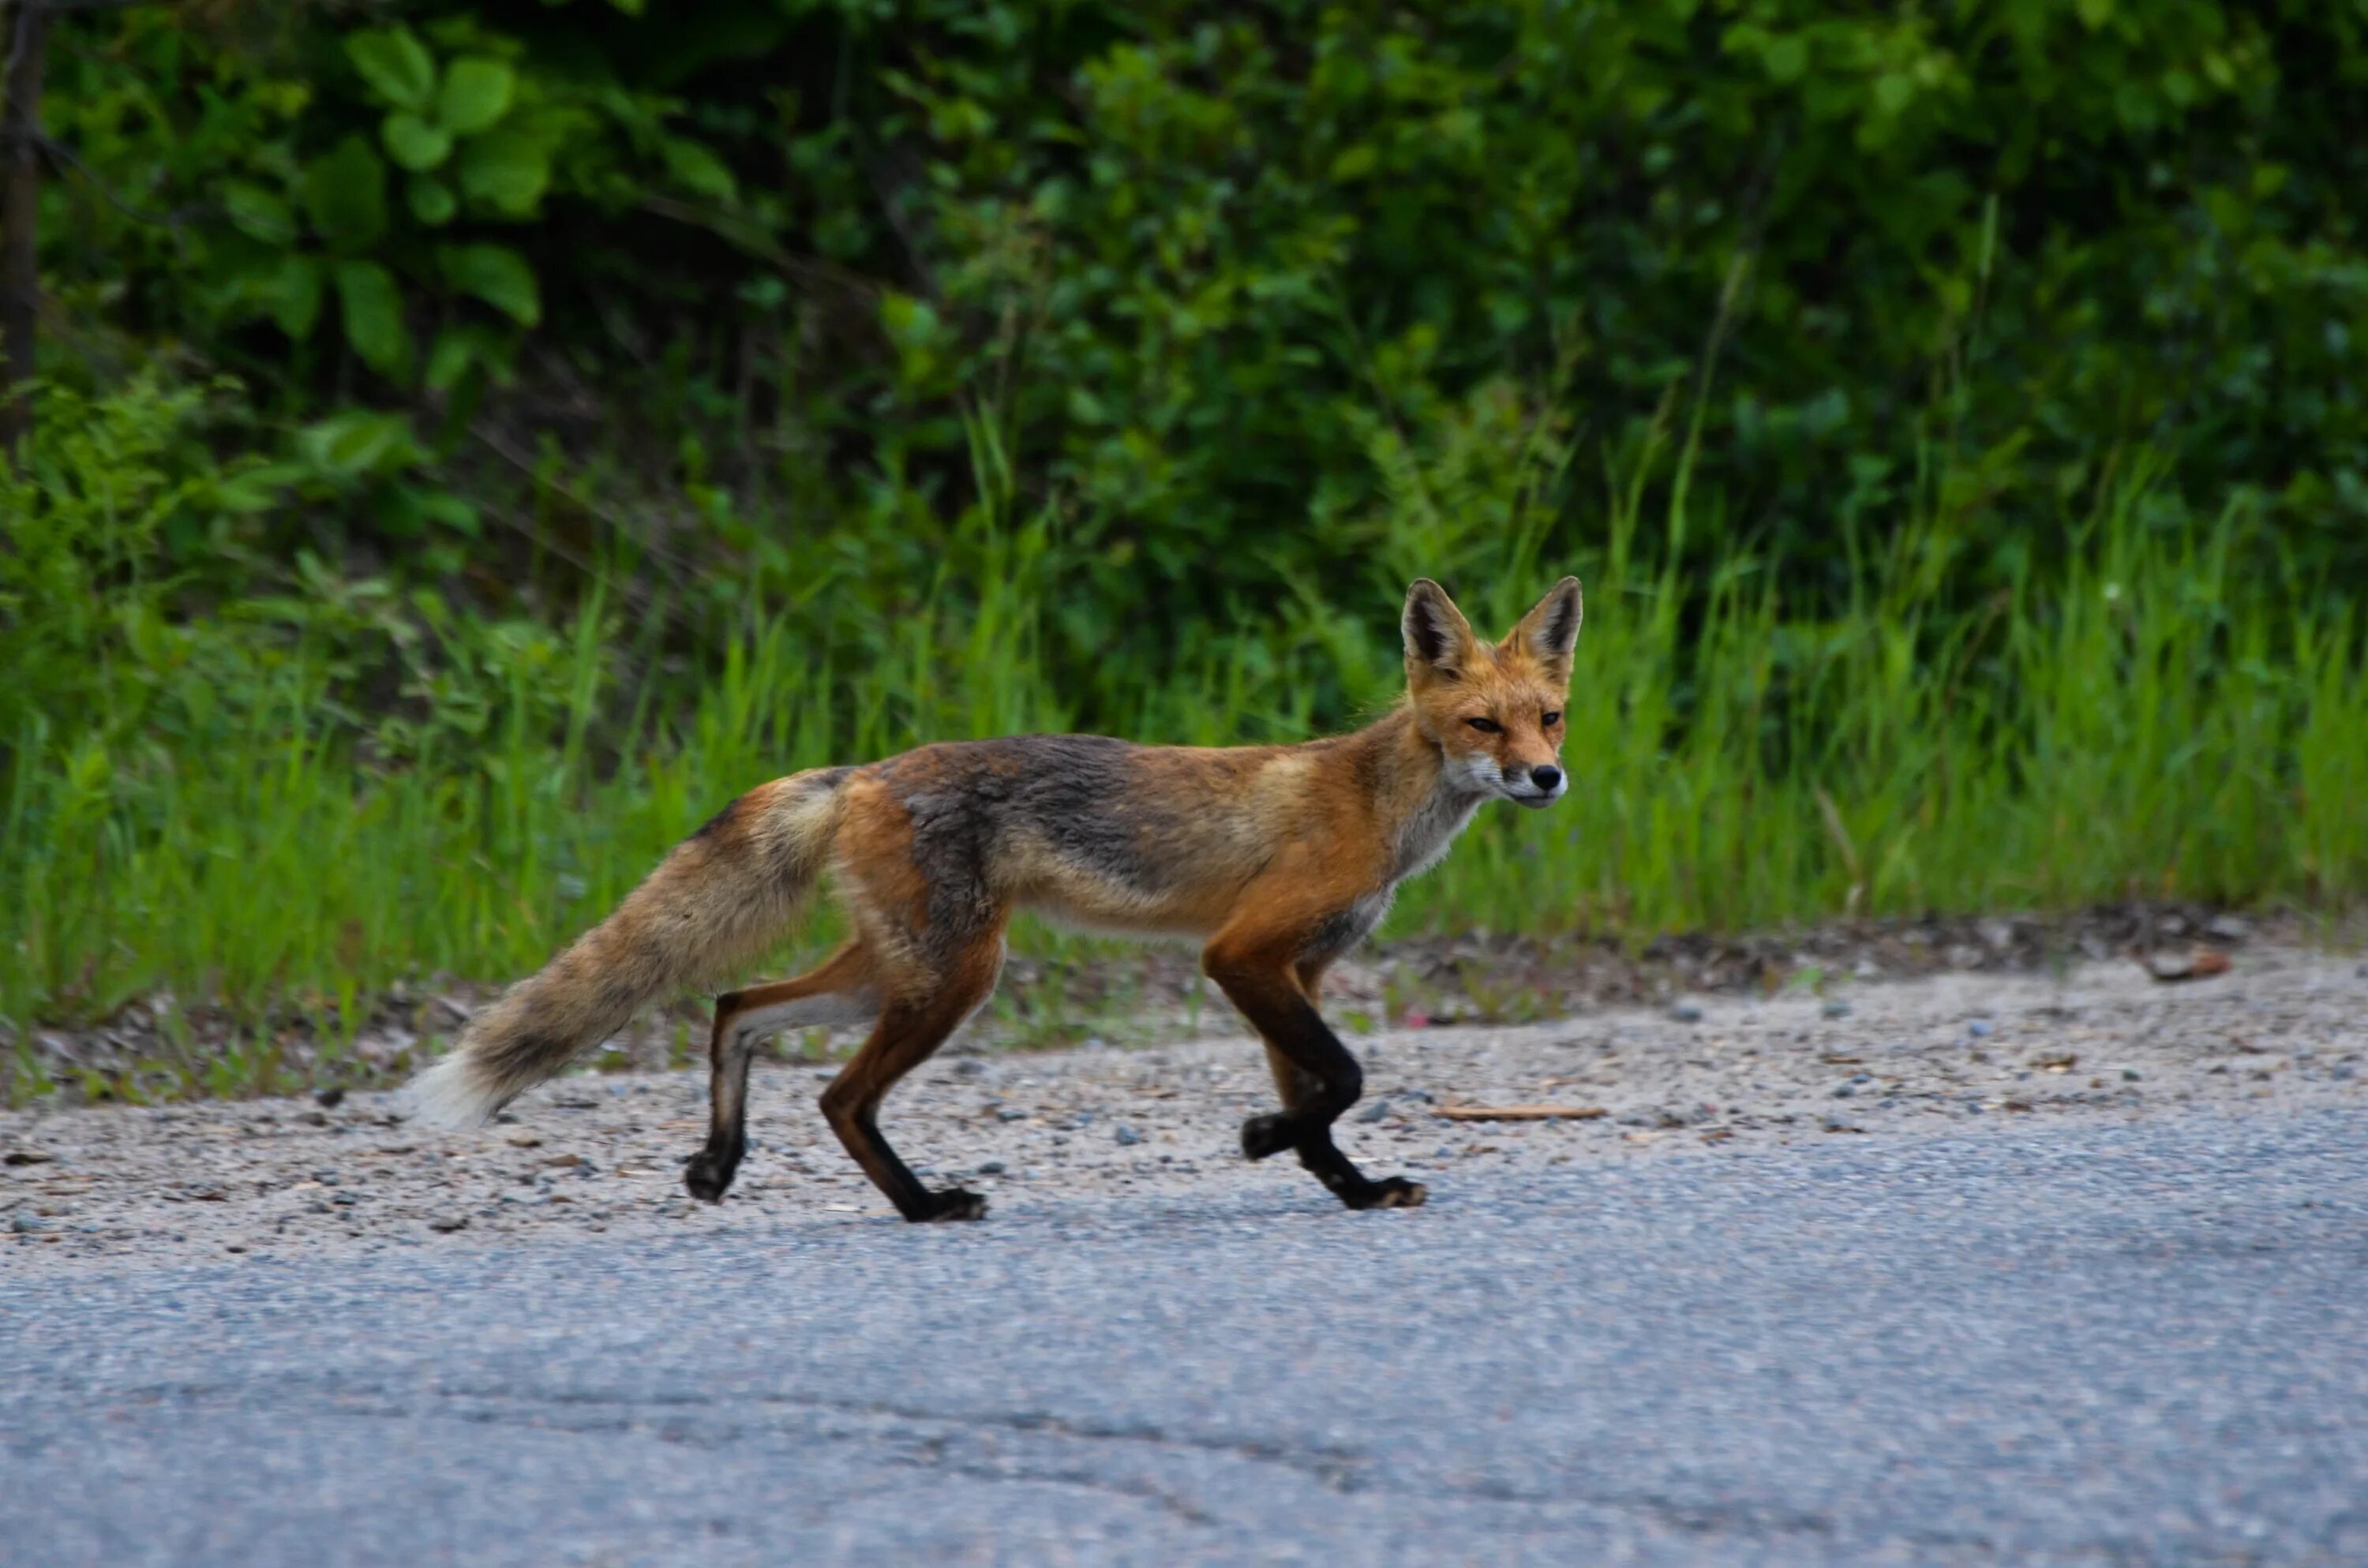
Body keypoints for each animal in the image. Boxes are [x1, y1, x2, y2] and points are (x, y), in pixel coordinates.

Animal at [414, 580, 1582, 1231]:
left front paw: (1352, 1187)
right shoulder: (1243, 953)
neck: (1378, 804)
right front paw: (1261, 1139)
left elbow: (1322, 1102)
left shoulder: (1300, 968)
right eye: (1483, 724)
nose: (1547, 779)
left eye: (1551, 717)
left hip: (893, 969)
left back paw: (721, 1161)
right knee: (839, 1096)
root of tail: (864, 770)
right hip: (956, 976)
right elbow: (1341, 1078)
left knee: (736, 1005)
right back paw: (924, 1205)